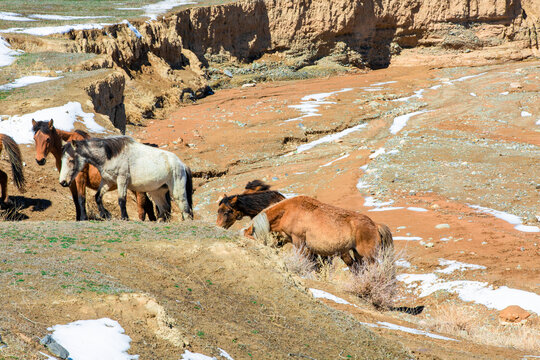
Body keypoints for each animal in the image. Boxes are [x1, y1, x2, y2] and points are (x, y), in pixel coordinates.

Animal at [59, 136, 193, 221]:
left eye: (71, 160)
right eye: (62, 159)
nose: (63, 182)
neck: (110, 156)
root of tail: (182, 164)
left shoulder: (122, 180)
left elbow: (121, 200)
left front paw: (124, 217)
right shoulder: (108, 181)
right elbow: (97, 197)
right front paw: (105, 214)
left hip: (177, 192)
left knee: (186, 210)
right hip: (157, 192)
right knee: (164, 210)